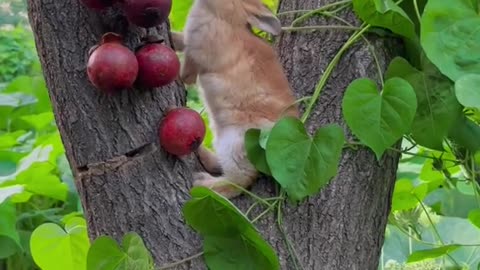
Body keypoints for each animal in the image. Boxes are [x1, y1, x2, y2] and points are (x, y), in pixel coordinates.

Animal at [174, 0, 298, 198]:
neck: (228, 18)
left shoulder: (197, 53)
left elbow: (187, 73)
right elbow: (179, 40)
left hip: (234, 145)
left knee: (239, 182)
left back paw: (201, 183)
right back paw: (201, 153)